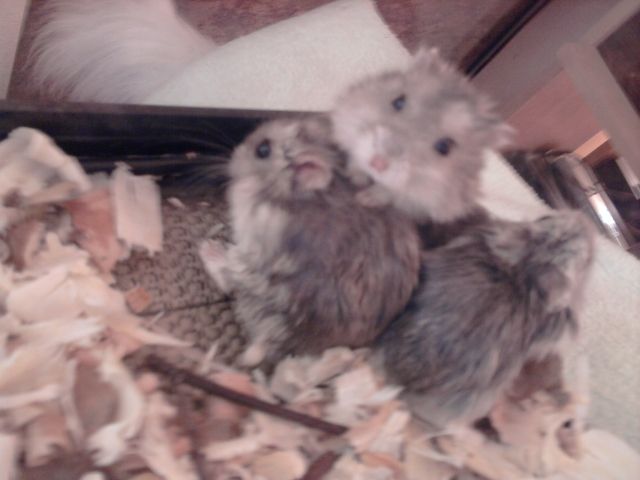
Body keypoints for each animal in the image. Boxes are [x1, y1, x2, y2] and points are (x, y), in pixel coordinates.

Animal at [200, 115, 421, 367]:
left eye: (262, 150)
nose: (234, 155)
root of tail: (280, 337)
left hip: (252, 271)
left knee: (228, 278)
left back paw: (208, 248)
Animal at [330, 48, 511, 227]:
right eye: (398, 102)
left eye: (444, 147)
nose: (377, 163)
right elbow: (355, 159)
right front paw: (356, 179)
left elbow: (390, 192)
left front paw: (364, 199)